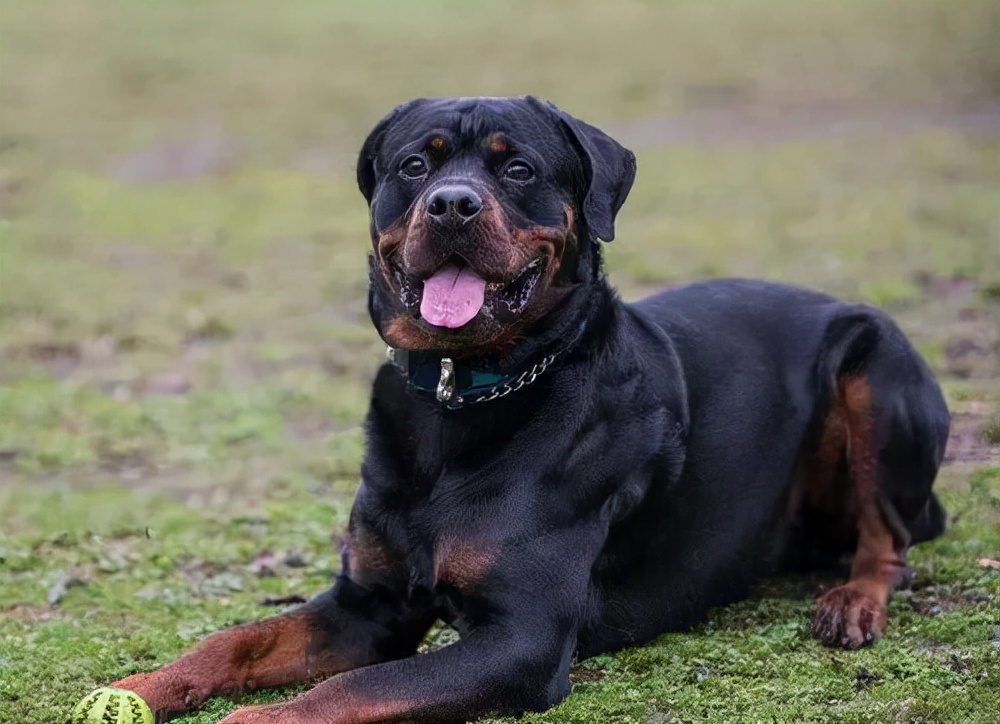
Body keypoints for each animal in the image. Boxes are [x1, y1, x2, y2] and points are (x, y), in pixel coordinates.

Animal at [113, 97, 948, 724]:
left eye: (518, 168)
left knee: (889, 538)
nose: (452, 204)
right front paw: (137, 689)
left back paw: (853, 603)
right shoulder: (369, 603)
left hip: (874, 363)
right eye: (415, 164)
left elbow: (345, 691)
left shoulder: (522, 638)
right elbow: (236, 641)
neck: (460, 395)